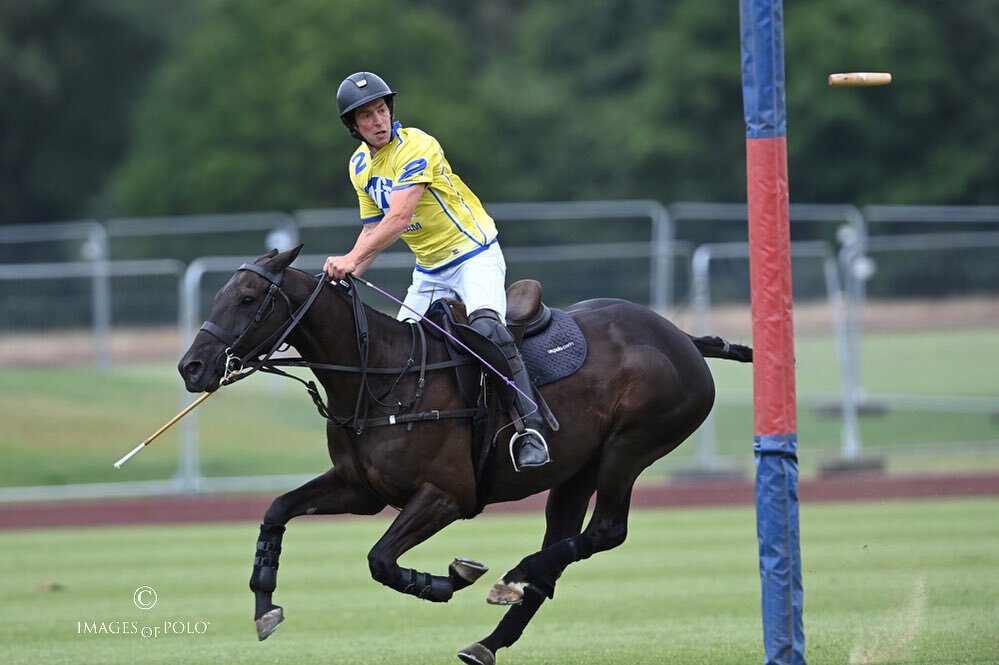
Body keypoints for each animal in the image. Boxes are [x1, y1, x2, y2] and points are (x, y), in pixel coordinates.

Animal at [176, 245, 752, 664]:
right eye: (221, 294)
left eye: (248, 297)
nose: (191, 367)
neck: (382, 375)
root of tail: (682, 337)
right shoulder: (360, 489)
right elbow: (277, 510)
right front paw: (264, 604)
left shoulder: (446, 495)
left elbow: (380, 560)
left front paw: (446, 579)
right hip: (577, 470)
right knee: (563, 551)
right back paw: (490, 639)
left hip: (629, 447)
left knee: (607, 531)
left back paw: (510, 577)